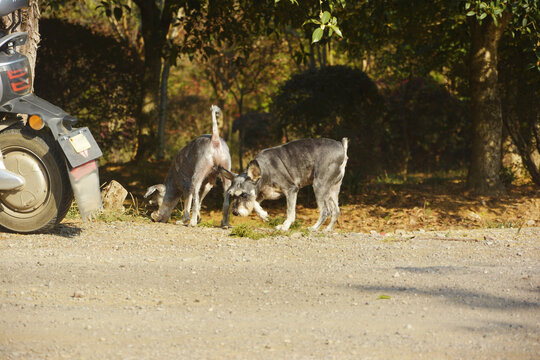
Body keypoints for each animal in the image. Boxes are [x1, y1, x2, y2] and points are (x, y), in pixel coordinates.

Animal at [220, 136, 350, 232]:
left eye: (243, 195)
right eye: (231, 195)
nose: (235, 212)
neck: (265, 171)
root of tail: (341, 146)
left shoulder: (291, 190)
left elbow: (290, 212)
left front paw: (284, 226)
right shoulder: (262, 195)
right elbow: (255, 204)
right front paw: (264, 215)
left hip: (319, 186)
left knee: (325, 211)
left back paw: (313, 228)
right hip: (332, 190)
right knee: (336, 210)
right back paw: (327, 229)